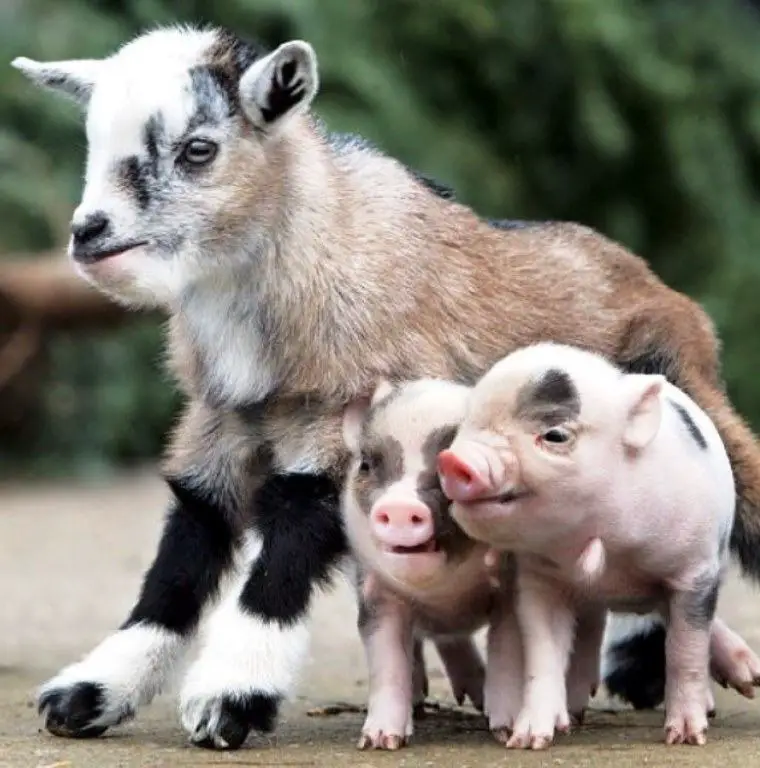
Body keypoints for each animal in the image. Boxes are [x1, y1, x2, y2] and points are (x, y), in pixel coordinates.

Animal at [437, 342, 737, 749]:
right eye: (466, 424)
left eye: (555, 435)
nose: (453, 460)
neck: (612, 556)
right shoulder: (539, 578)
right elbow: (543, 652)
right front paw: (527, 740)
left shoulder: (693, 567)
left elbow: (685, 649)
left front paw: (686, 737)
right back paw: (575, 714)